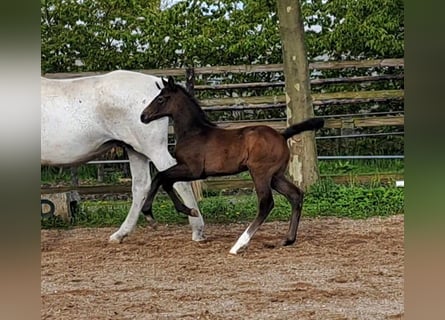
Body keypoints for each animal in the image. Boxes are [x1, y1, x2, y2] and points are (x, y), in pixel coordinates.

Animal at [40, 69, 206, 241]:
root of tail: (157, 82)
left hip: (153, 148)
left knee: (178, 181)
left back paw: (197, 228)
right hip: (135, 150)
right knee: (141, 186)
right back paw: (121, 234)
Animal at [140, 76, 322, 254]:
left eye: (161, 98)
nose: (143, 116)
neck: (193, 132)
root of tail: (282, 135)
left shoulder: (193, 170)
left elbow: (160, 177)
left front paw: (150, 214)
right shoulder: (187, 169)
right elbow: (165, 181)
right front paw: (188, 210)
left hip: (260, 173)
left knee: (266, 203)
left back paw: (238, 245)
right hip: (275, 176)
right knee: (295, 195)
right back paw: (288, 239)